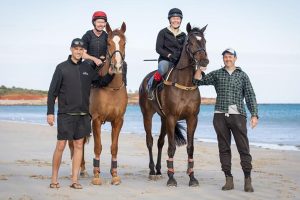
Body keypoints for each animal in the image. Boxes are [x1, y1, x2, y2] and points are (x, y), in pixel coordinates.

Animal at [139, 22, 207, 187]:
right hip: (147, 115)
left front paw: (192, 177)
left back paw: (158, 170)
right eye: (190, 42)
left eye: (204, 41)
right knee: (150, 141)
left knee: (160, 142)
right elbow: (172, 147)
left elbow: (190, 148)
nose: (204, 61)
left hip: (163, 119)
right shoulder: (172, 118)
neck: (184, 83)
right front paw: (171, 178)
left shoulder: (192, 118)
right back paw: (152, 171)